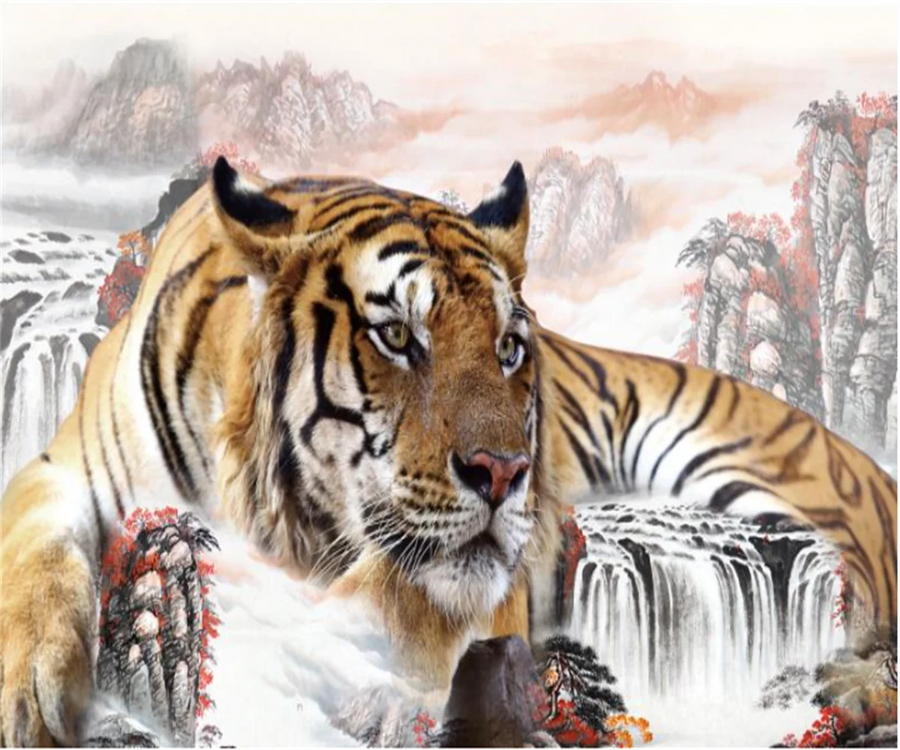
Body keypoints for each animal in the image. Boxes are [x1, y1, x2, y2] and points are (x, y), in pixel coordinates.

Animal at [0, 156, 895, 745]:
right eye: (398, 337)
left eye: (507, 348)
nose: (505, 473)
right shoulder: (64, 469)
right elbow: (36, 557)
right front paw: (32, 696)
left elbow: (405, 602)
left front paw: (388, 694)